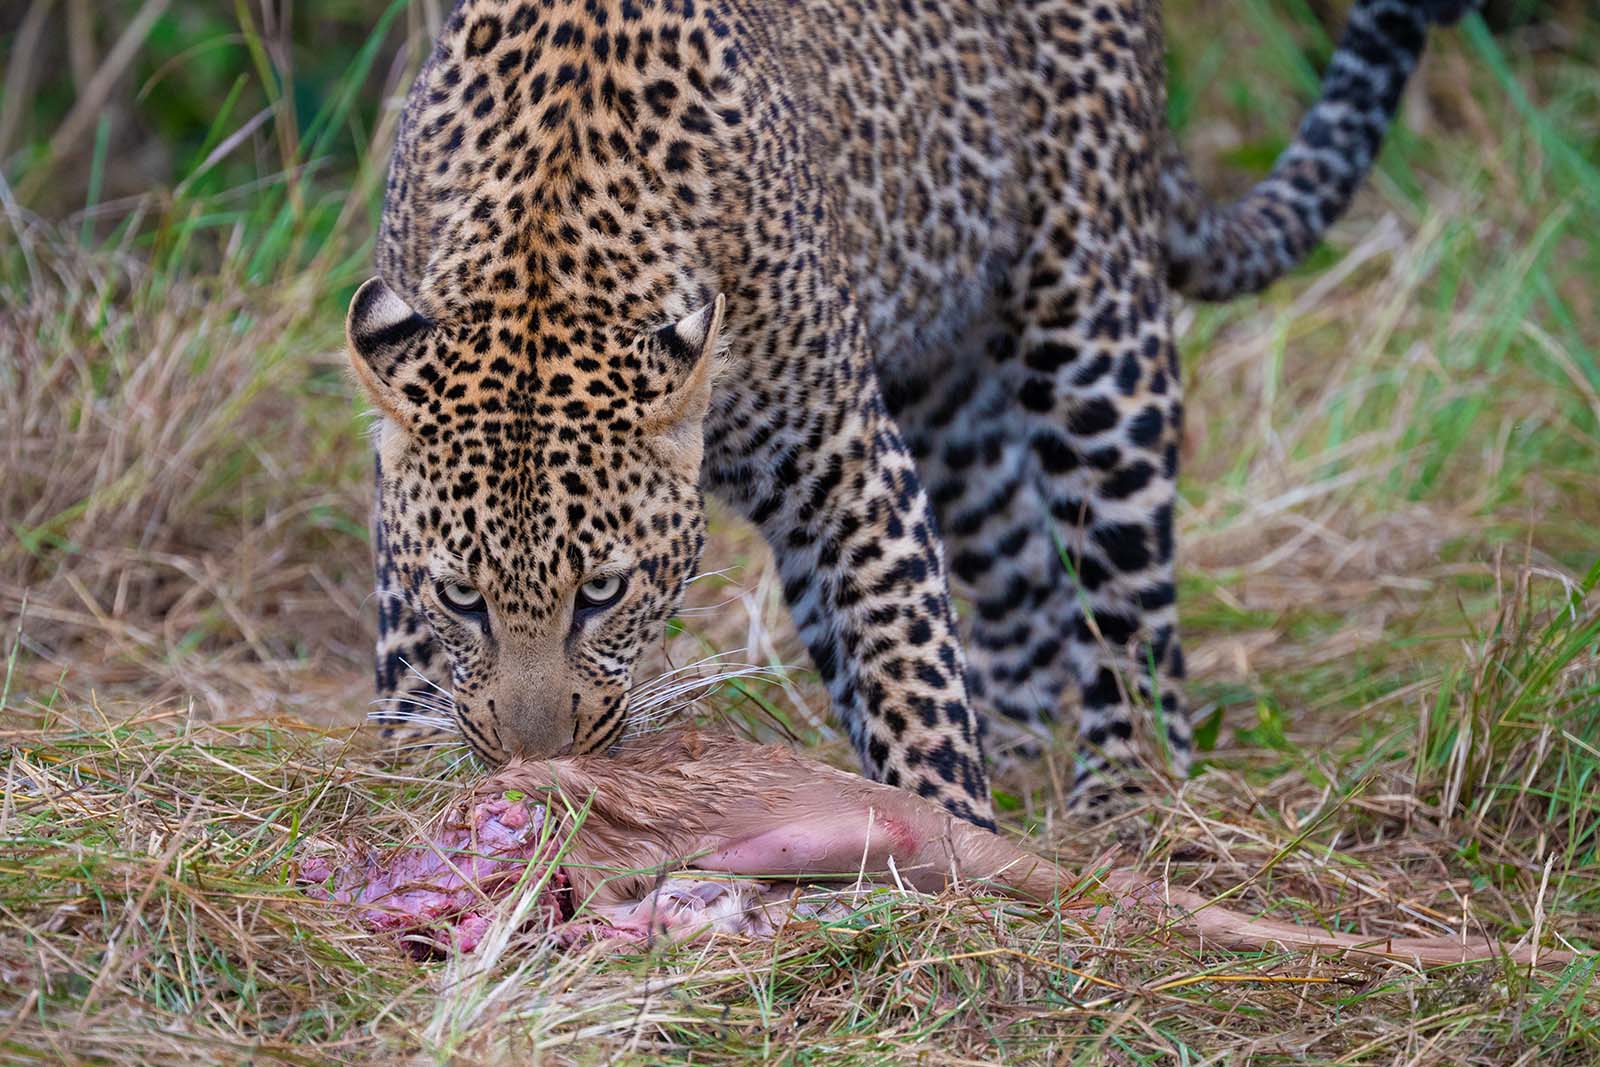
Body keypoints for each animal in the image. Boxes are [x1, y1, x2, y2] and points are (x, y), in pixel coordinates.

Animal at [349, 0, 1478, 829]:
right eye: (462, 596)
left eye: (603, 592)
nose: (534, 762)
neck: (546, 235)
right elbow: (409, 658)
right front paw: (410, 794)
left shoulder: (844, 457)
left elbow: (905, 661)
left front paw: (946, 860)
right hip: (948, 379)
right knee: (1020, 566)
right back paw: (1016, 743)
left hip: (1093, 323)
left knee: (1126, 593)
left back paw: (1130, 795)